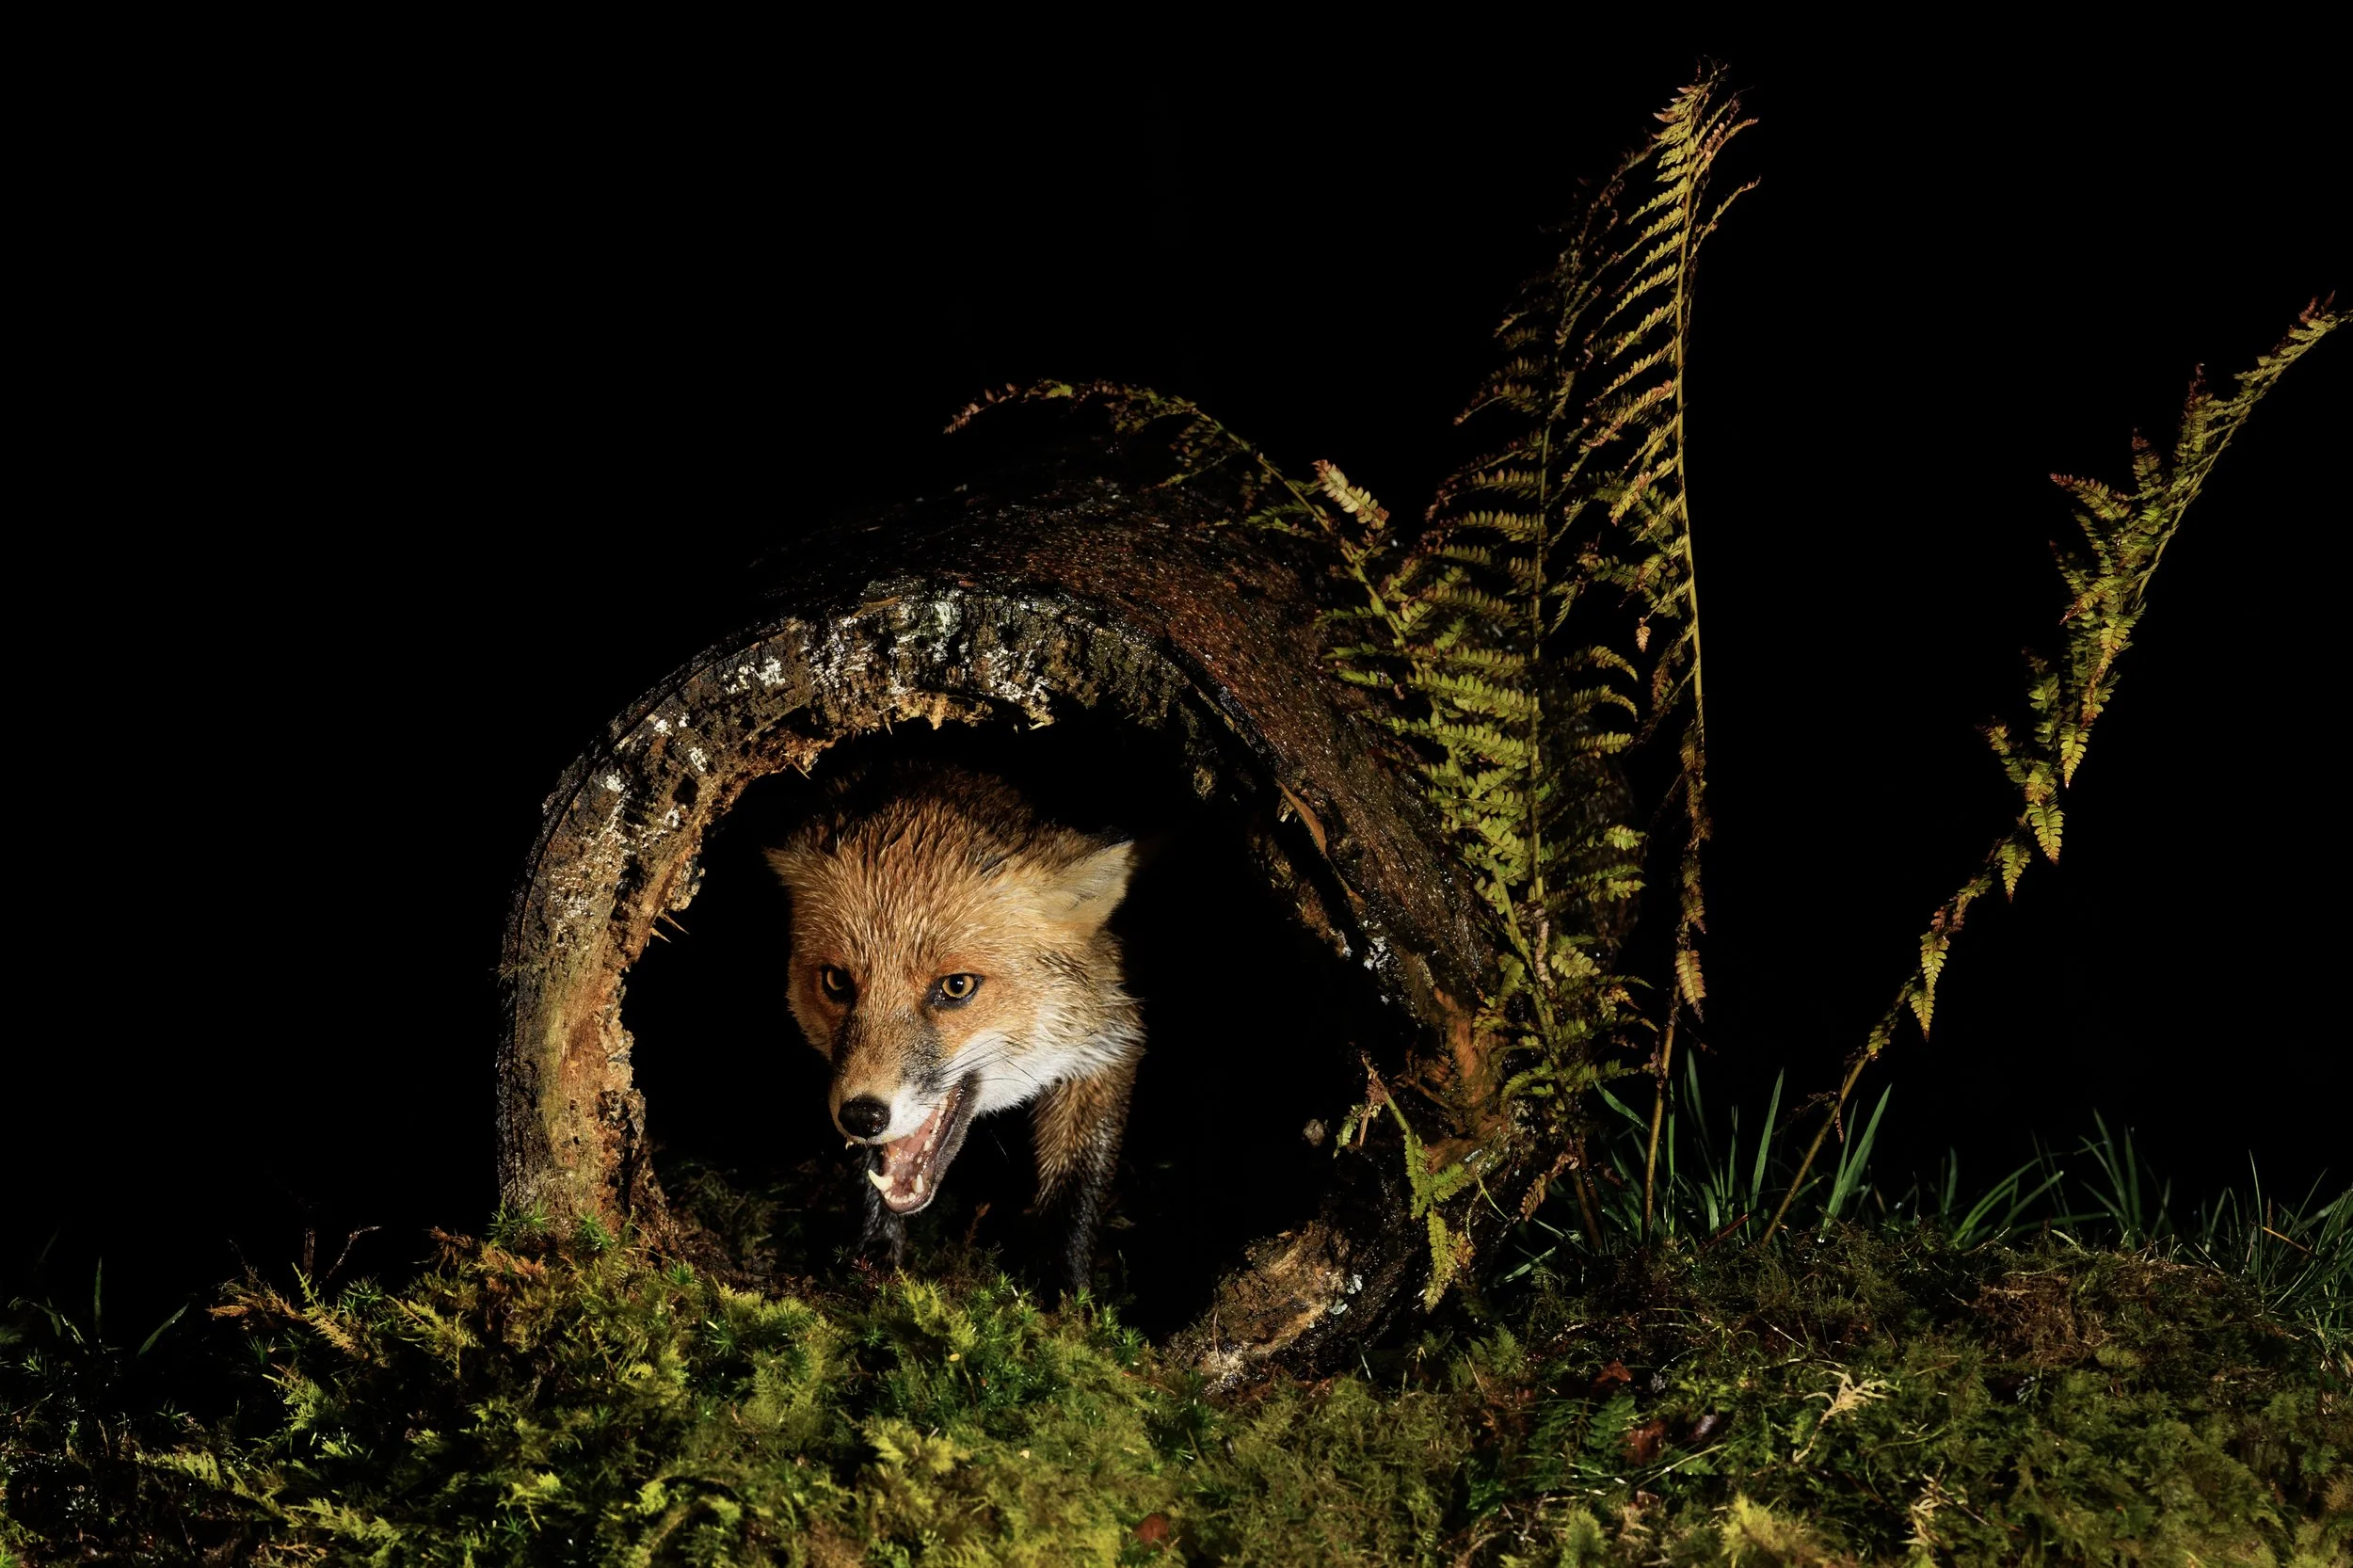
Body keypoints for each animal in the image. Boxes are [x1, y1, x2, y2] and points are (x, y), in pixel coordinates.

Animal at [766, 766, 1143, 1295]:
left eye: (956, 986)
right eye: (837, 981)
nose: (862, 1116)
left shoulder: (1106, 1040)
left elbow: (1076, 1187)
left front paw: (1064, 1291)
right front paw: (873, 1256)